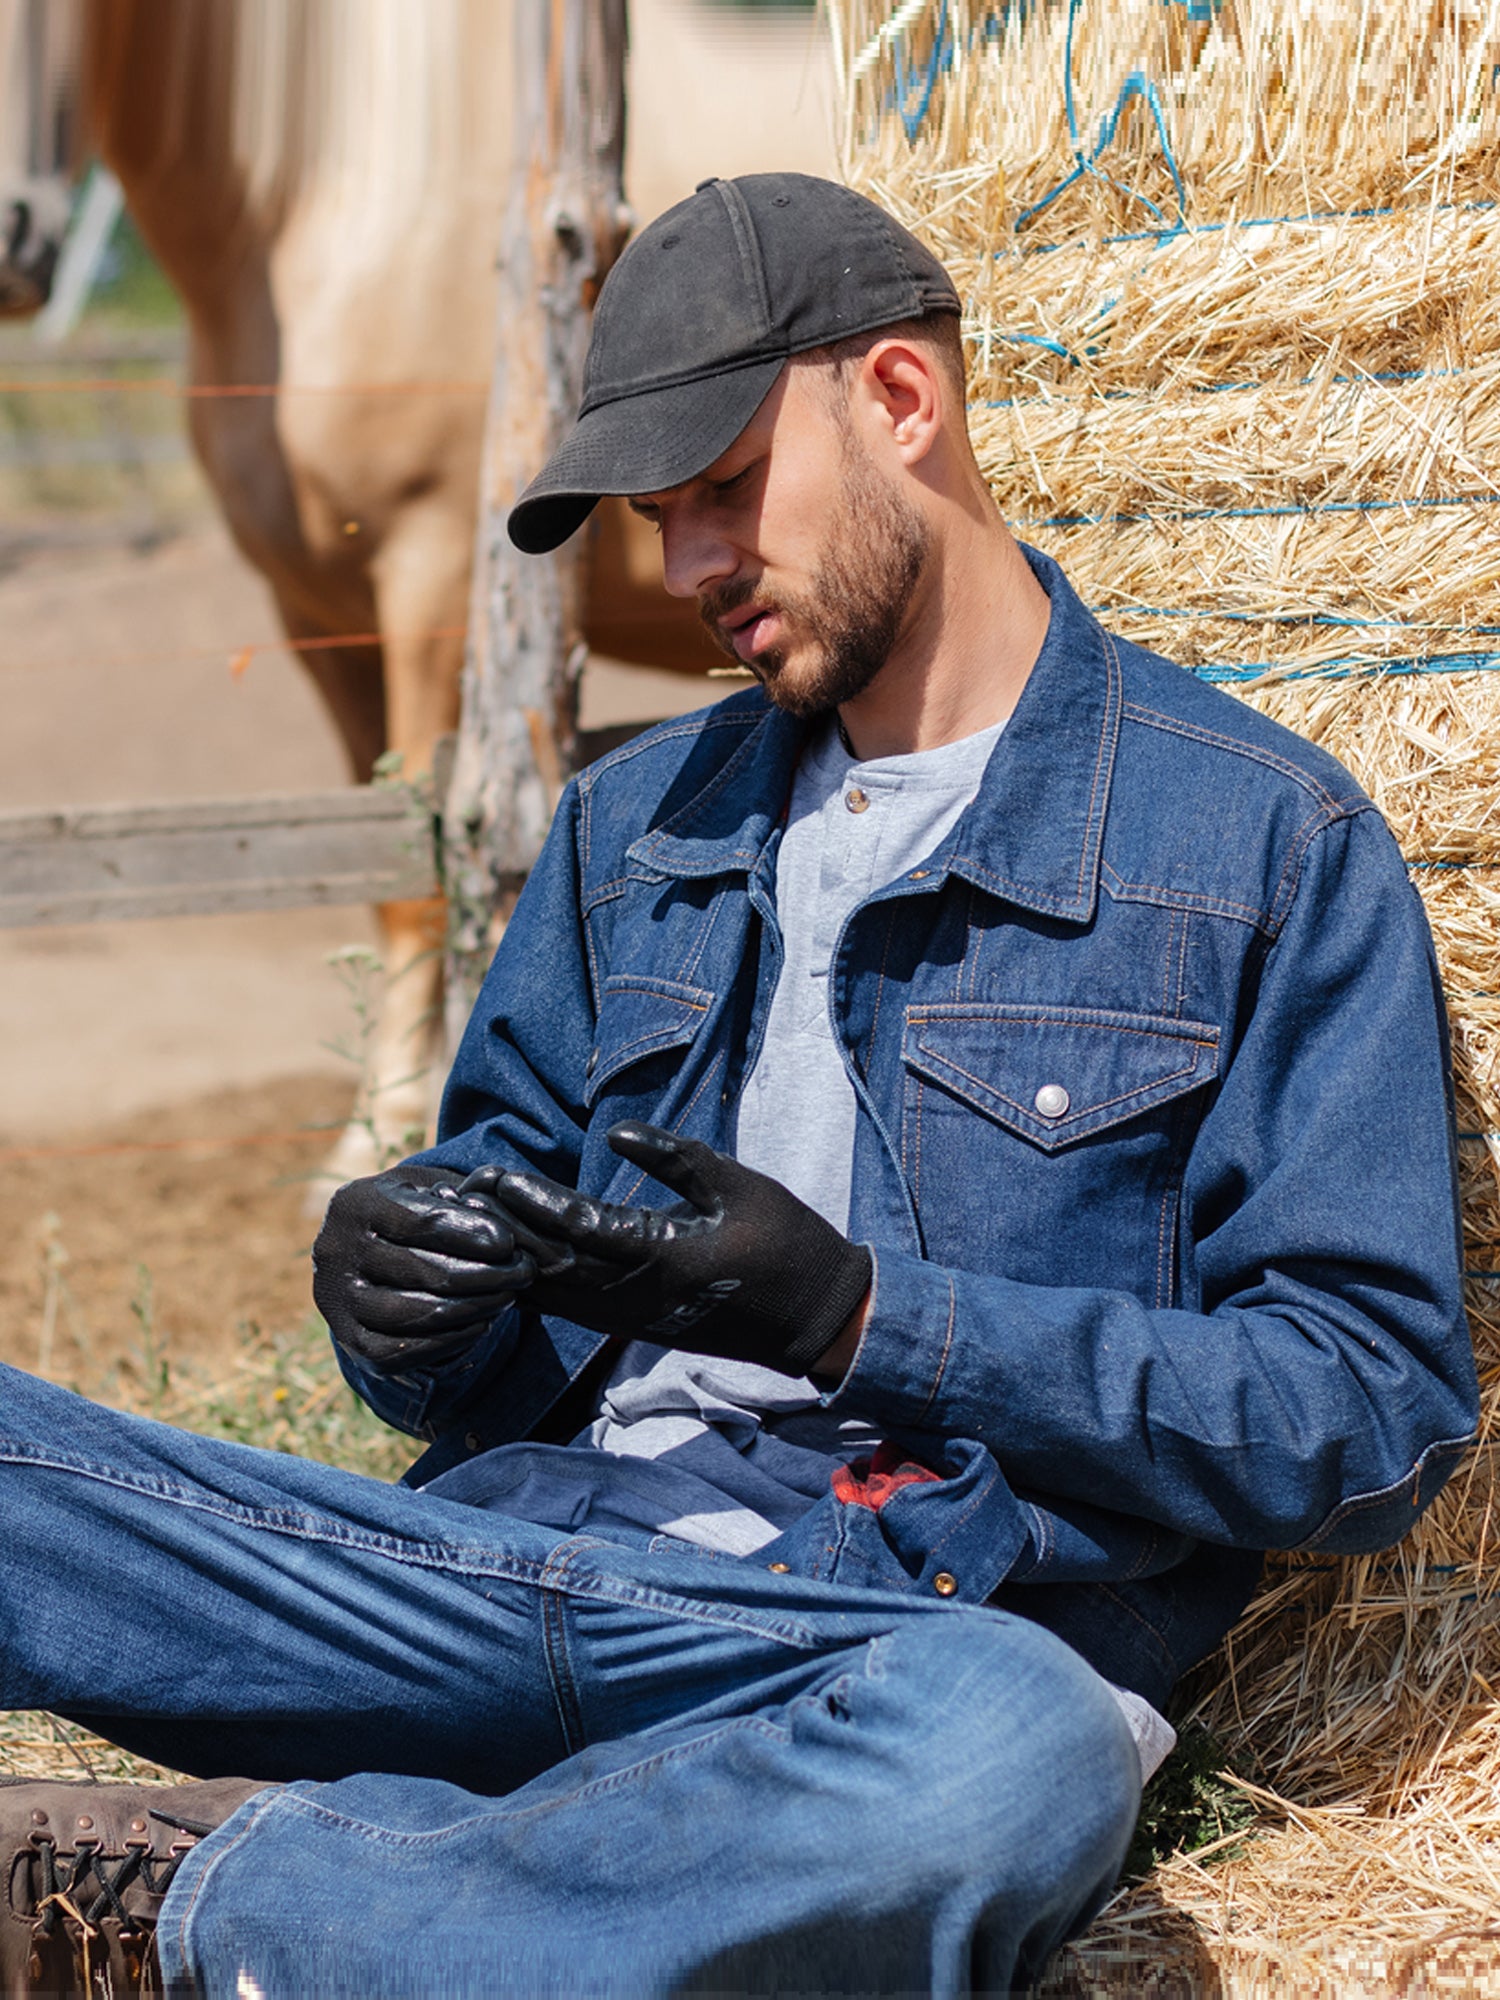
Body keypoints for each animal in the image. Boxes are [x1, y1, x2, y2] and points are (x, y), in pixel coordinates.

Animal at [2, 0, 836, 1184]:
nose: (9, 246)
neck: (333, 201)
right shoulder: (319, 617)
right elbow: (380, 865)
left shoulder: (430, 582)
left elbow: (419, 875)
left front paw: (385, 1128)